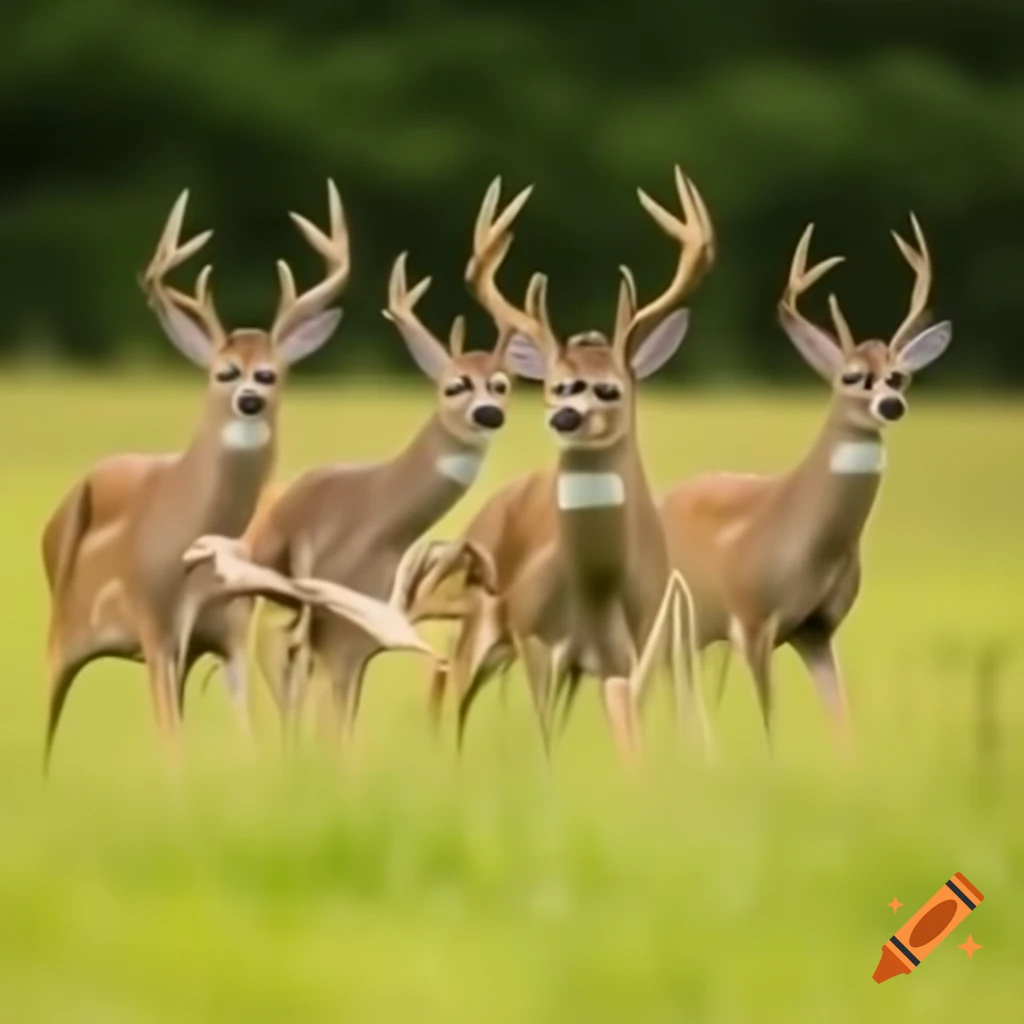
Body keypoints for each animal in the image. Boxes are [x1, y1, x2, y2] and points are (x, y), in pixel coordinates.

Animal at [40, 181, 429, 770]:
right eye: (224, 372)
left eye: (271, 373)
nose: (249, 398)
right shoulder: (156, 629)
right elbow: (172, 746)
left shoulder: (228, 635)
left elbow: (246, 739)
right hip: (63, 632)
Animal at [180, 178, 534, 744]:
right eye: (453, 385)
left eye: (502, 385)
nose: (489, 413)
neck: (377, 522)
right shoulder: (315, 628)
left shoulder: (361, 635)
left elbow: (340, 727)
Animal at [410, 167, 717, 760]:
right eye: (556, 387)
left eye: (610, 389)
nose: (565, 417)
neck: (598, 592)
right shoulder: (540, 644)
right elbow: (544, 740)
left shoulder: (636, 652)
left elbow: (631, 744)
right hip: (478, 626)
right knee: (444, 691)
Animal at [657, 215, 953, 745]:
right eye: (851, 377)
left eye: (899, 377)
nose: (891, 405)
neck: (809, 549)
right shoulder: (753, 623)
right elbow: (770, 726)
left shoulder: (817, 630)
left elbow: (843, 725)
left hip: (699, 636)